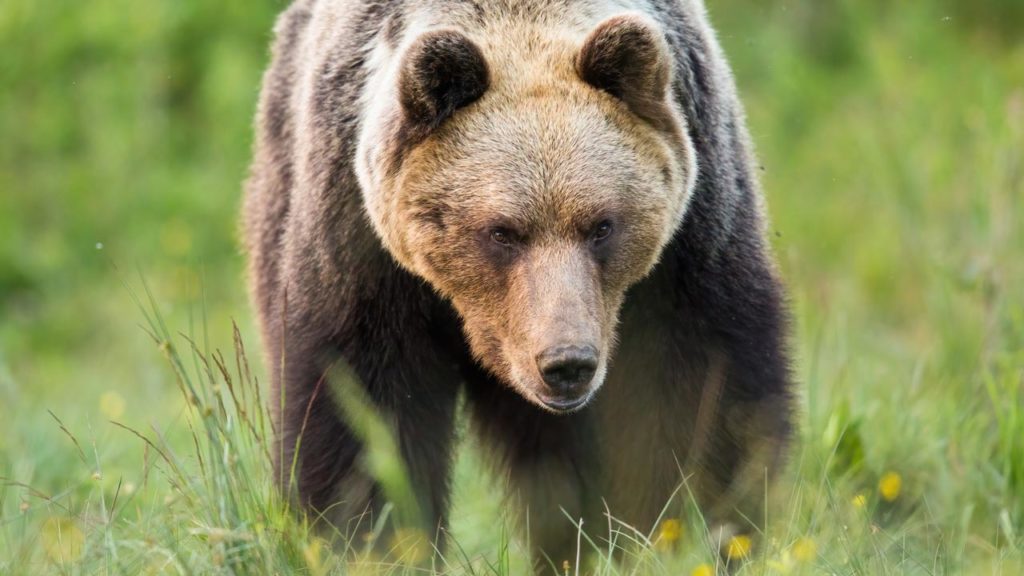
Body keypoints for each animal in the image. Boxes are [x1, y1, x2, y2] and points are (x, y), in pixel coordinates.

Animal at [243, 0, 794, 565]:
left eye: (602, 225)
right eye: (502, 231)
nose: (566, 363)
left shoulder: (690, 237)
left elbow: (698, 391)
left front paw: (700, 535)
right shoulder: (361, 245)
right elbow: (363, 408)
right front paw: (371, 543)